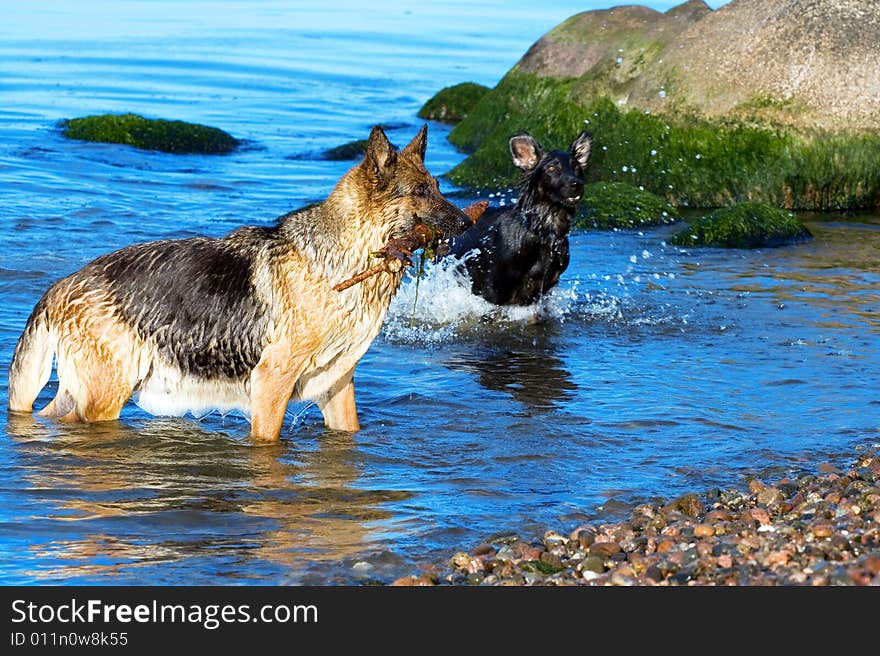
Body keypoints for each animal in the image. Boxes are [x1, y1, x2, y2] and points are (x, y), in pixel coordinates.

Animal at [8, 125, 474, 440]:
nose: (469, 223)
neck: (344, 258)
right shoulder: (271, 383)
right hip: (105, 397)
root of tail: (60, 286)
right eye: (421, 193)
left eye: (438, 188)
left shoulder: (337, 385)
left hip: (84, 390)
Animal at [446, 132, 592, 308]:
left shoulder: (542, 289)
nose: (577, 184)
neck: (543, 232)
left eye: (576, 168)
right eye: (551, 168)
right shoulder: (494, 290)